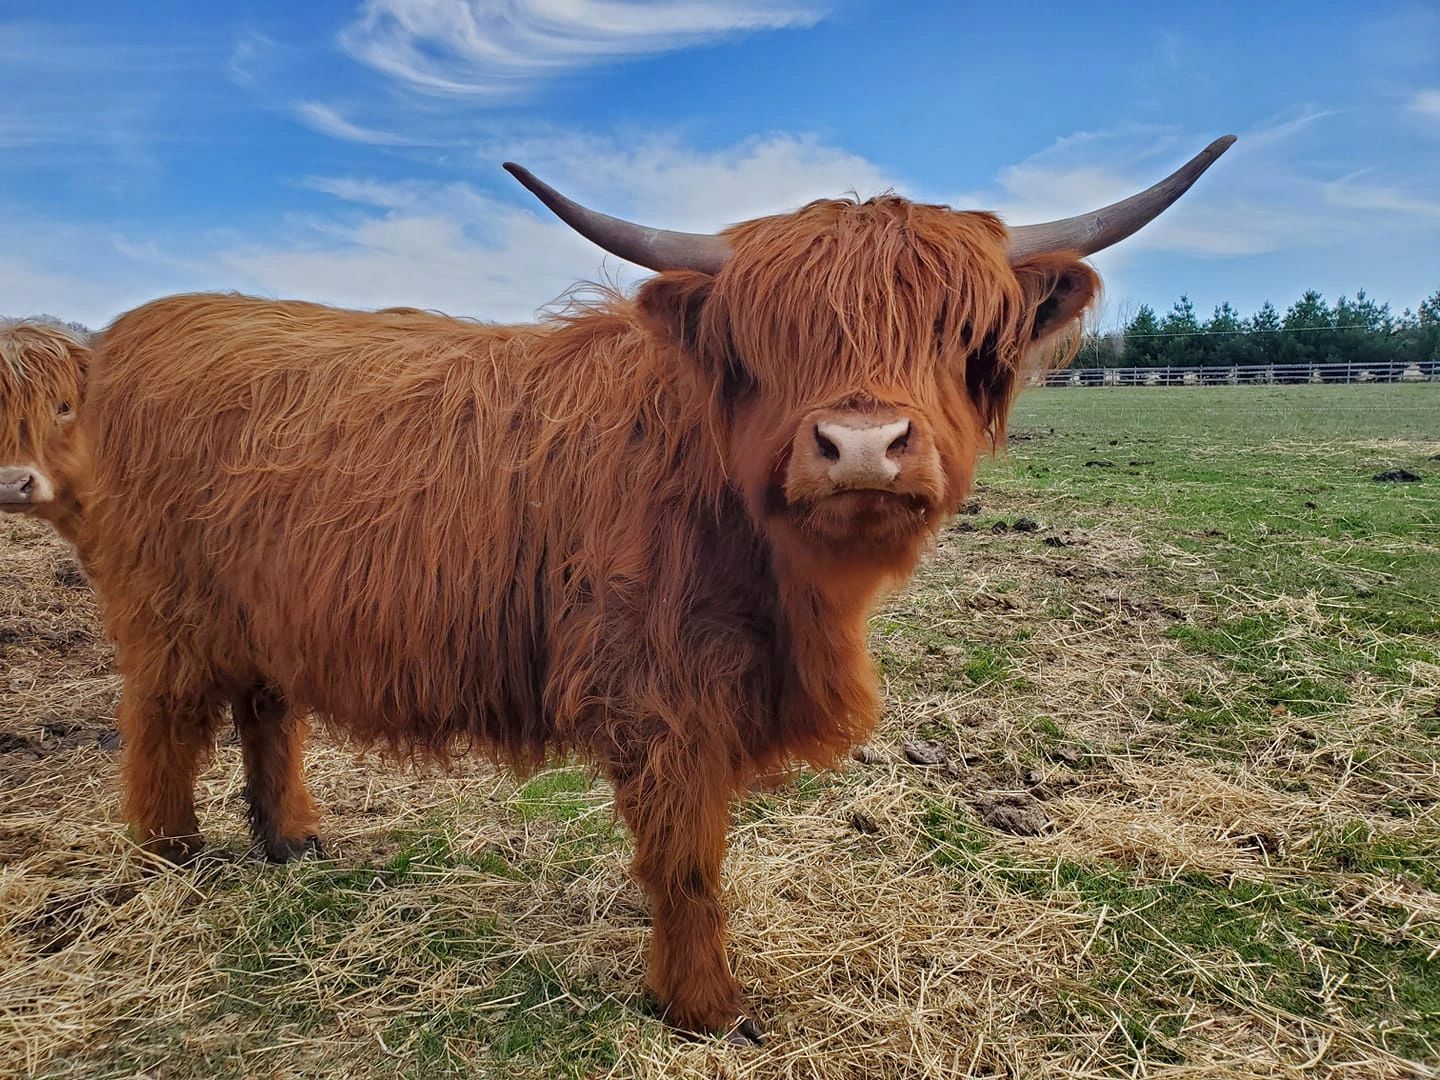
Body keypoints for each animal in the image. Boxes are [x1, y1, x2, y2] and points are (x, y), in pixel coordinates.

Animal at [73, 137, 1232, 1042]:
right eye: (773, 338)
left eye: (959, 334)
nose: (862, 445)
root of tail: (139, 328)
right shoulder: (661, 697)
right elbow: (687, 860)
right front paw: (708, 1007)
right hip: (170, 610)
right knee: (164, 720)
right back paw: (174, 855)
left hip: (261, 609)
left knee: (265, 706)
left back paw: (291, 839)